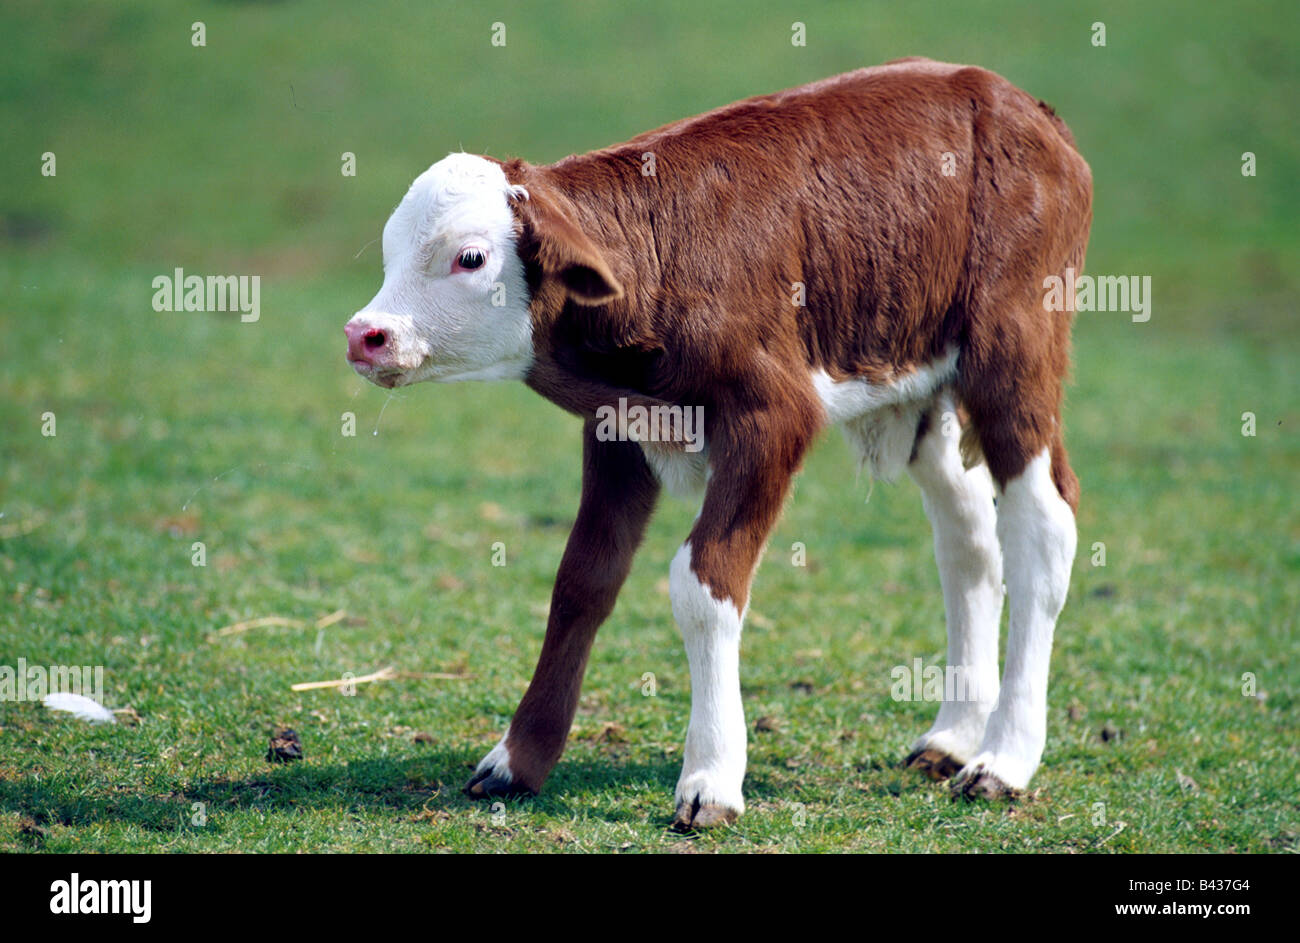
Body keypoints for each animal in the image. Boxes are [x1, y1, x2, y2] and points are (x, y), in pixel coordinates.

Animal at [343, 56, 1086, 822]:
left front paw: (711, 777)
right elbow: (582, 578)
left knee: (1043, 526)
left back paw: (1004, 758)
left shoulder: (772, 415)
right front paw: (517, 759)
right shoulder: (617, 428)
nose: (365, 334)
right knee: (969, 539)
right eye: (391, 250)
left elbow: (705, 580)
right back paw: (955, 737)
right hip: (917, 380)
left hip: (1015, 345)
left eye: (470, 257)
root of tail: (1009, 97)